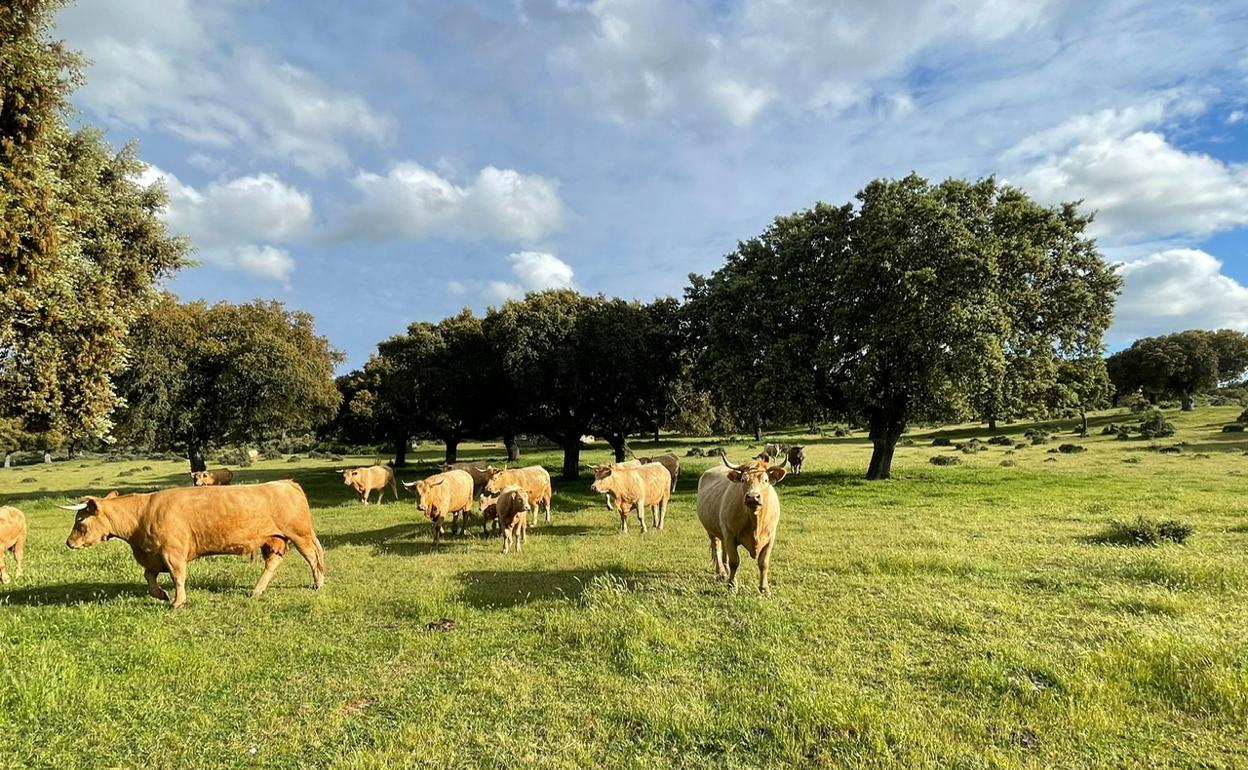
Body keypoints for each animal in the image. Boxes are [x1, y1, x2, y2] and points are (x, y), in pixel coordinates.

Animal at [58, 479, 324, 606]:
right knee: (273, 564)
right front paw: (161, 594)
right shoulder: (153, 555)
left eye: (80, 521)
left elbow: (178, 577)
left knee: (313, 556)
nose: (69, 543)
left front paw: (177, 601)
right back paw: (256, 590)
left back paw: (318, 583)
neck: (142, 514)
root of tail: (286, 483)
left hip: (299, 534)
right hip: (274, 540)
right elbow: (149, 577)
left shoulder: (172, 552)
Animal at [698, 456, 783, 594]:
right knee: (717, 548)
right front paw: (732, 586)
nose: (753, 497)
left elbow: (764, 563)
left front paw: (764, 589)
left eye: (765, 480)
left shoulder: (770, 538)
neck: (755, 522)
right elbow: (735, 561)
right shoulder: (730, 535)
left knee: (724, 552)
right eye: (743, 480)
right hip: (711, 531)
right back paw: (722, 572)